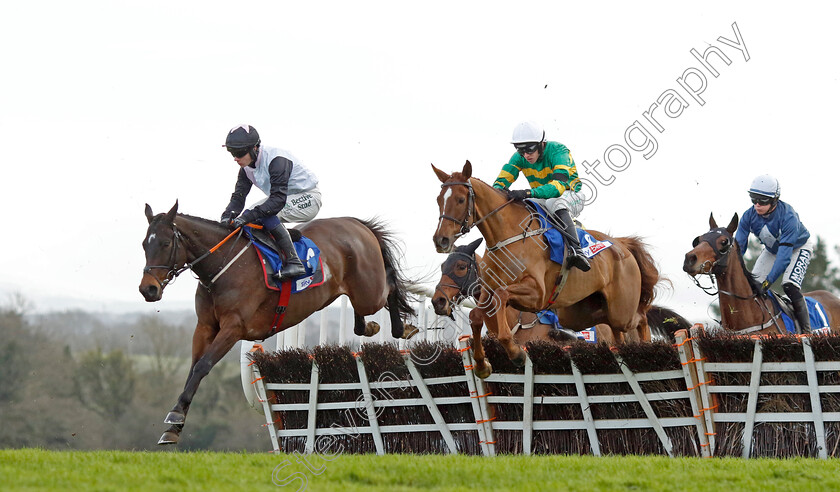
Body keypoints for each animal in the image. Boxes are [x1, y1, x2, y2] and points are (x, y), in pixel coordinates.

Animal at [139, 203, 418, 446]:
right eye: (144, 244)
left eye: (165, 243)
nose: (148, 289)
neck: (223, 265)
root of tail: (357, 223)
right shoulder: (205, 327)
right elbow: (193, 369)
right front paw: (174, 427)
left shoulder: (234, 327)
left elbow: (202, 366)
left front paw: (175, 416)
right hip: (355, 290)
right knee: (360, 315)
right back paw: (370, 327)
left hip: (369, 291)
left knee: (390, 285)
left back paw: (403, 327)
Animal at [434, 161, 664, 376]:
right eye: (438, 199)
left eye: (460, 199)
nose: (441, 240)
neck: (508, 237)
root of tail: (622, 245)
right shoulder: (488, 291)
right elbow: (475, 316)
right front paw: (482, 365)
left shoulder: (536, 293)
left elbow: (502, 295)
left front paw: (516, 353)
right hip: (583, 314)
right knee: (617, 332)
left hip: (621, 310)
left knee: (641, 318)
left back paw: (647, 348)